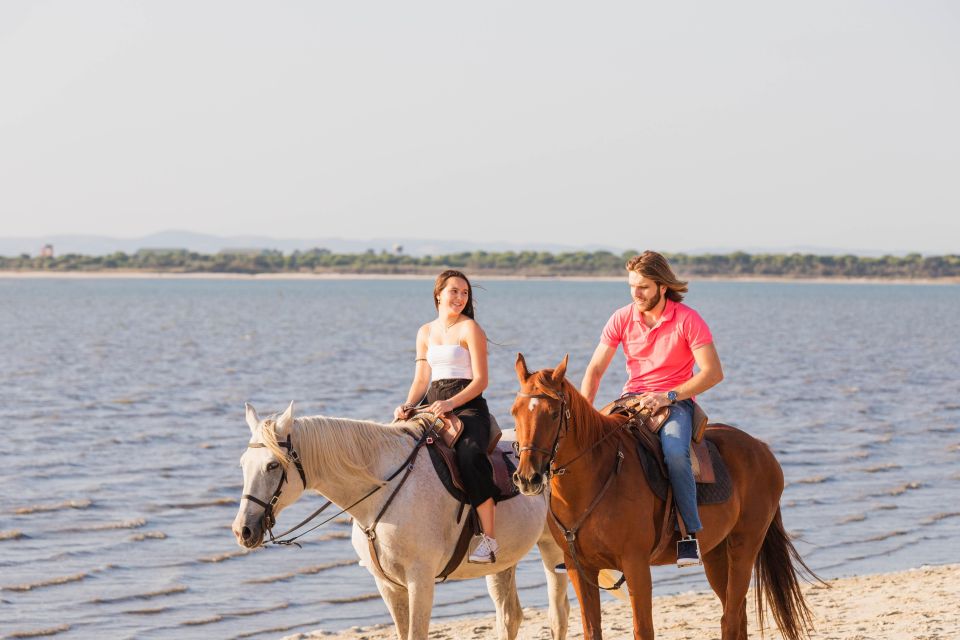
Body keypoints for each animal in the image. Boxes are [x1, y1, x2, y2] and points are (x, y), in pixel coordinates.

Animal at [231, 404, 568, 640]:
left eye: (272, 465)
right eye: (243, 464)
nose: (243, 530)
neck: (383, 490)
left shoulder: (420, 580)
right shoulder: (388, 585)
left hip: (553, 549)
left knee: (557, 616)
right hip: (502, 563)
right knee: (509, 617)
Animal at [510, 356, 816, 640]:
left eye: (553, 414)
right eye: (514, 412)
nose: (527, 478)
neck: (593, 482)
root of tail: (762, 449)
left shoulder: (636, 566)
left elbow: (643, 630)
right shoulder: (579, 569)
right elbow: (592, 630)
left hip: (746, 545)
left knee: (730, 618)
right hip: (716, 552)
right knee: (736, 615)